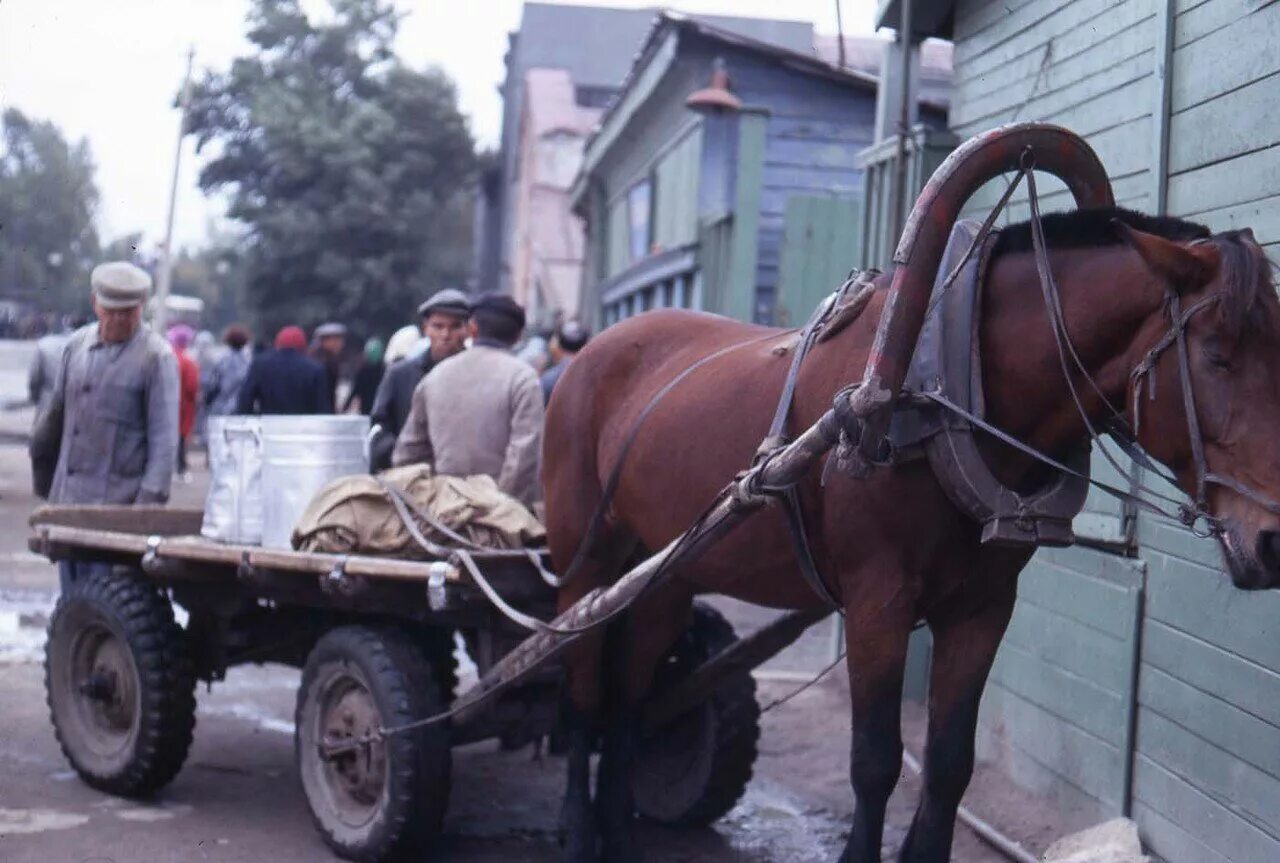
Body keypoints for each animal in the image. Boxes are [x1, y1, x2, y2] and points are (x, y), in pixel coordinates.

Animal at [540, 203, 1280, 860]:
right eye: (1216, 355)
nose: (1272, 539)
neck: (946, 388)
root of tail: (593, 351)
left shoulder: (983, 606)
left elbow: (950, 762)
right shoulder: (878, 602)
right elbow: (875, 761)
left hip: (665, 571)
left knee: (629, 698)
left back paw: (619, 831)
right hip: (586, 560)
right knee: (580, 688)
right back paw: (576, 828)